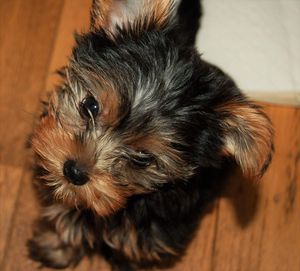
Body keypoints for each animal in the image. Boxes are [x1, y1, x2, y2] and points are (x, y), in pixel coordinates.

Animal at [28, 0, 274, 270]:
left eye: (143, 157)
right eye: (90, 105)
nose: (74, 171)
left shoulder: (149, 239)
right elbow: (65, 217)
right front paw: (54, 247)